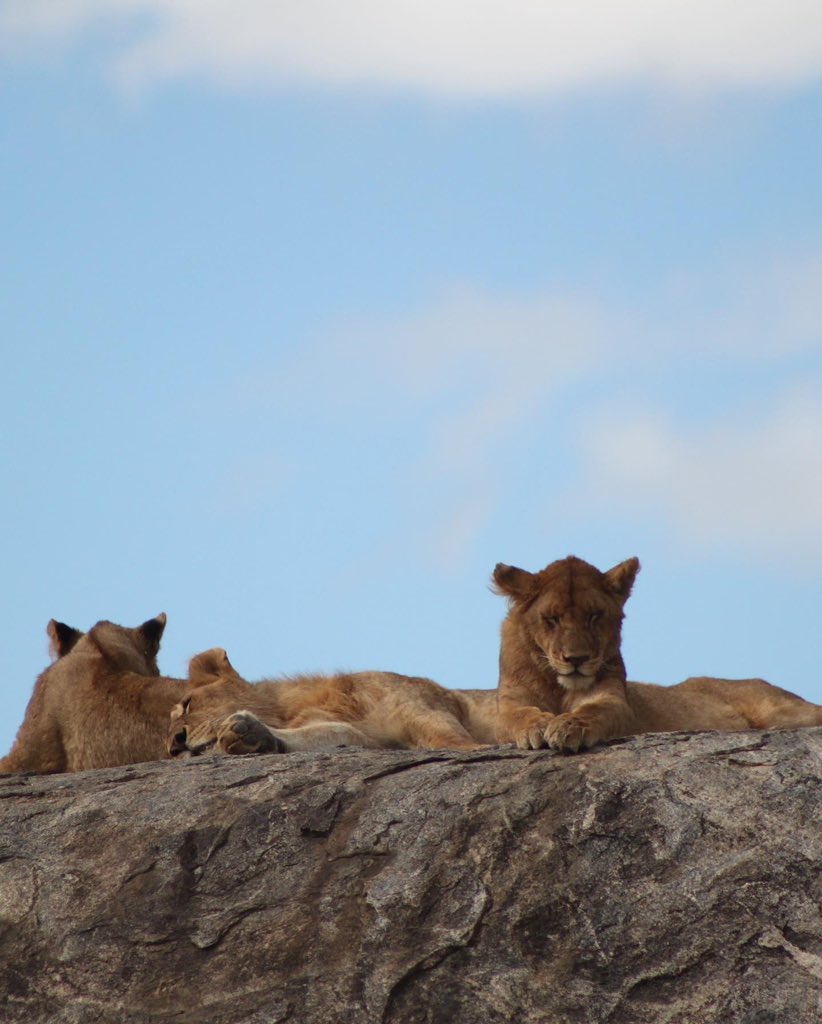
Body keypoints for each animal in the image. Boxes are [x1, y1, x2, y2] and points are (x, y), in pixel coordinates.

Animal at [168, 648, 498, 758]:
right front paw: (251, 736)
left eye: (188, 704)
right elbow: (331, 734)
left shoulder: (420, 705)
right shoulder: (369, 740)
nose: (174, 745)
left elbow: (447, 734)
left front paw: (478, 749)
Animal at [494, 554, 822, 753]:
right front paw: (538, 726)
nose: (577, 659)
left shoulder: (614, 701)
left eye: (594, 616)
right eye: (552, 619)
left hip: (781, 709)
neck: (558, 685)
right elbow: (518, 715)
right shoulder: (509, 703)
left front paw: (568, 726)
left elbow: (592, 711)